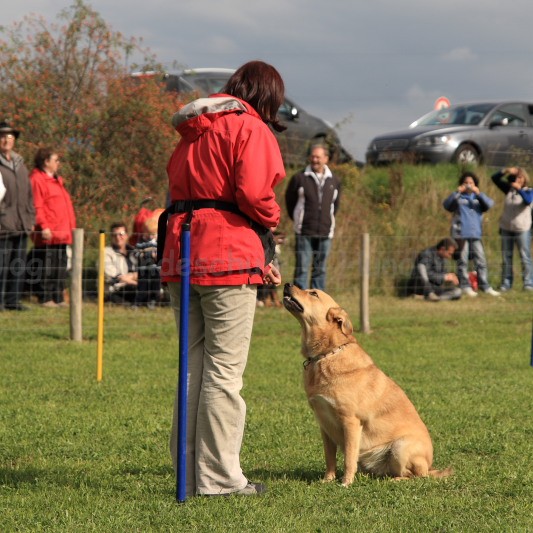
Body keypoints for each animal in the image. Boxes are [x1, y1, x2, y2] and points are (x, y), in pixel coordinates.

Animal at [280, 284, 450, 484]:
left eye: (313, 293)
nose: (287, 284)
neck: (326, 354)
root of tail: (431, 467)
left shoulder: (350, 421)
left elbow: (348, 457)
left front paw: (345, 482)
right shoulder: (324, 425)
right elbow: (330, 458)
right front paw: (327, 480)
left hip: (400, 447)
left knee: (416, 475)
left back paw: (394, 480)